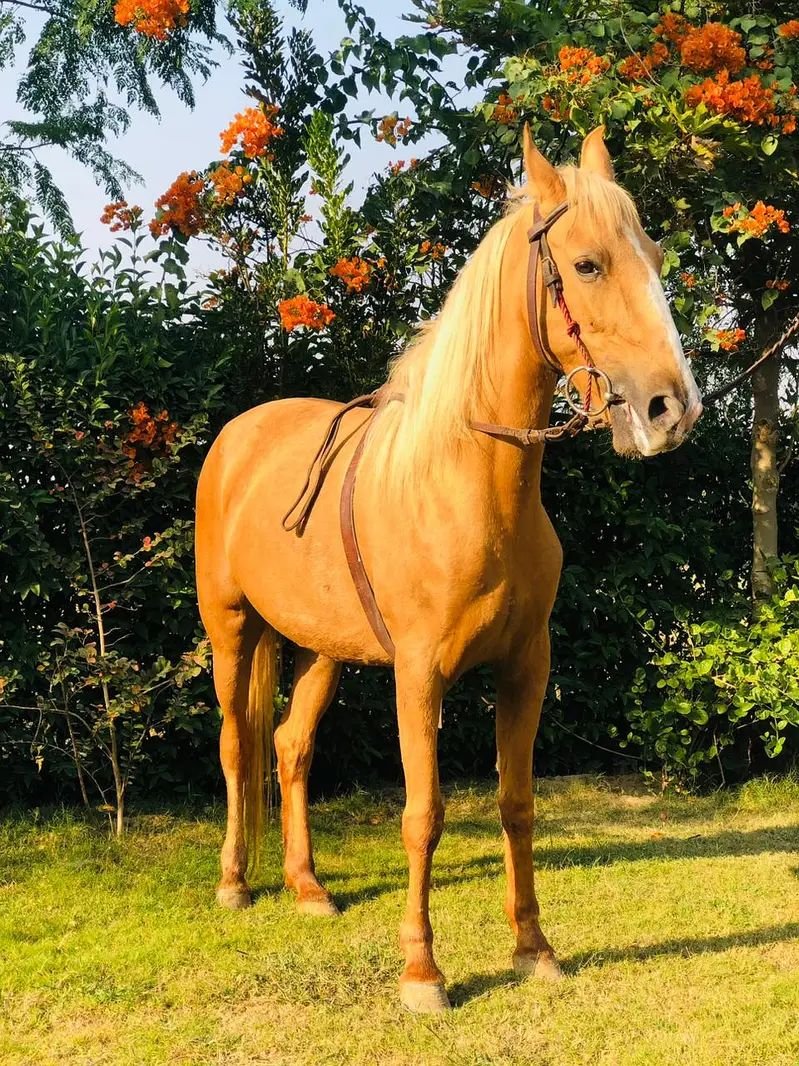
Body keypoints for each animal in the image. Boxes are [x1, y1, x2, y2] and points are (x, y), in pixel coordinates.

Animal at [195, 126, 702, 1014]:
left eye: (651, 253)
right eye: (586, 265)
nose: (669, 409)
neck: (467, 483)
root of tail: (237, 437)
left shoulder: (525, 668)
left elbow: (515, 803)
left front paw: (533, 948)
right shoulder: (418, 674)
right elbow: (423, 815)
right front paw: (422, 972)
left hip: (320, 650)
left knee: (289, 746)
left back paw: (307, 886)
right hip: (230, 631)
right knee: (235, 745)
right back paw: (235, 883)